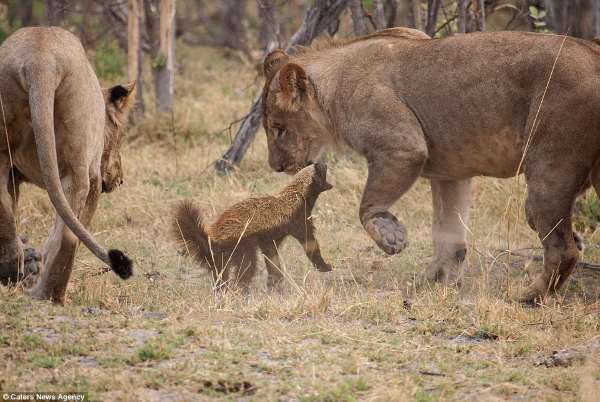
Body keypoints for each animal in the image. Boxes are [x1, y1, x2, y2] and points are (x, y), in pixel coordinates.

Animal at [0, 26, 134, 304]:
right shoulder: (94, 177)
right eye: (120, 134)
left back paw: (12, 270)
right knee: (68, 236)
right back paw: (49, 295)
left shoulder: (14, 175)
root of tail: (40, 59)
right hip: (78, 167)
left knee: (3, 207)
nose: (120, 179)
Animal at [172, 163, 332, 292]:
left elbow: (272, 258)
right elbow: (310, 244)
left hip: (221, 257)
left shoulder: (270, 238)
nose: (324, 162)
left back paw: (222, 291)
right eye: (320, 169)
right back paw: (240, 290)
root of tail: (210, 238)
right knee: (246, 267)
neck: (297, 196)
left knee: (221, 274)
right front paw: (325, 267)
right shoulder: (298, 221)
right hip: (241, 245)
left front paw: (275, 283)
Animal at [262, 28, 600, 304]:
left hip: (549, 168)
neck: (332, 90)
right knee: (566, 242)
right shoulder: (450, 173)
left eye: (279, 129)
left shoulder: (403, 146)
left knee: (563, 248)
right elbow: (448, 234)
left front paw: (392, 238)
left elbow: (367, 206)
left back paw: (529, 296)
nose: (276, 167)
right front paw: (433, 281)